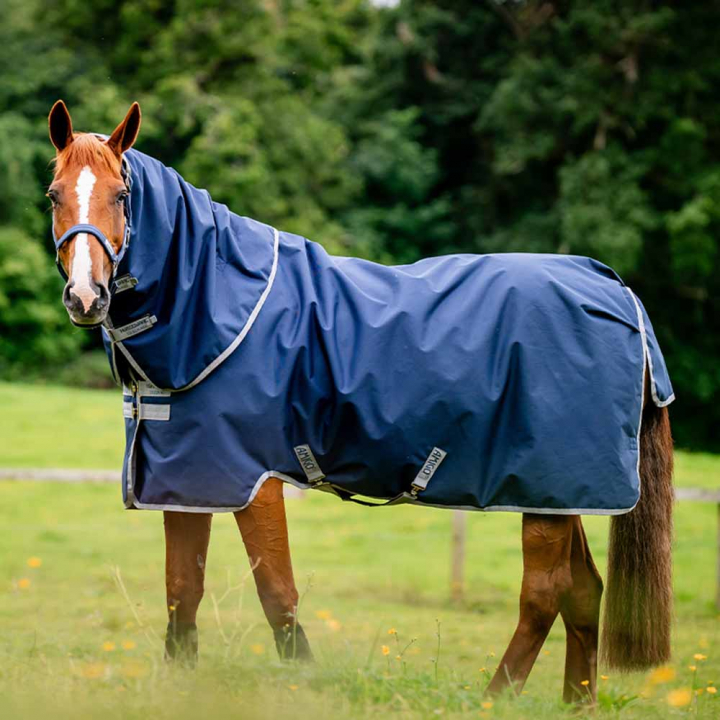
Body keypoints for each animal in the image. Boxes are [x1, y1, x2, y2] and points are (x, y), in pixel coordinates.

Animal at [46, 100, 674, 703]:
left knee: (543, 595)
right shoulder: (187, 479)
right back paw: (577, 702)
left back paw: (494, 698)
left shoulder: (254, 481)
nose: (86, 296)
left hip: (546, 494)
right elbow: (182, 592)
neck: (217, 306)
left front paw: (304, 683)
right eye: (54, 194)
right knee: (583, 592)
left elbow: (277, 594)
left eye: (122, 195)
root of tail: (615, 290)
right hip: (562, 496)